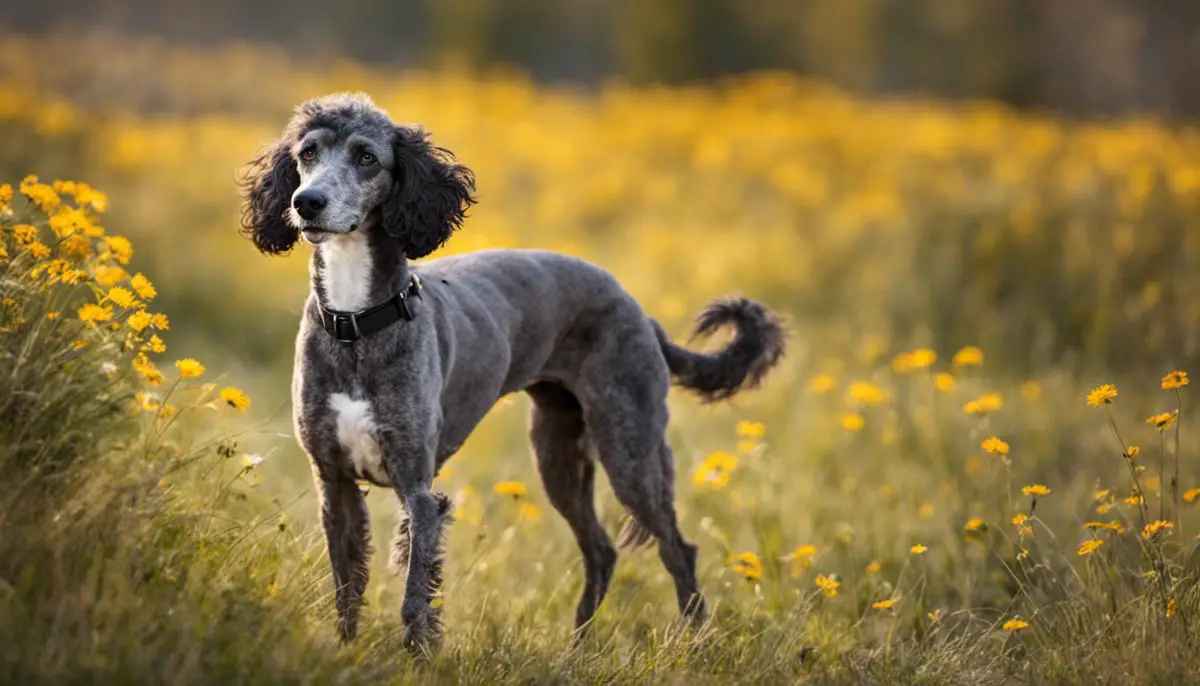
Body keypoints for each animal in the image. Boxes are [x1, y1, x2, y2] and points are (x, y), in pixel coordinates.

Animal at [237, 95, 787, 647]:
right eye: (307, 153)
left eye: (367, 157)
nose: (307, 202)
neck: (357, 320)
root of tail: (637, 310)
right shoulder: (335, 484)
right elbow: (346, 589)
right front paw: (346, 652)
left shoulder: (420, 491)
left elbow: (415, 598)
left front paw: (416, 656)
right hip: (558, 453)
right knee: (601, 550)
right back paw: (576, 649)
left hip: (631, 451)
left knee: (676, 548)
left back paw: (693, 643)